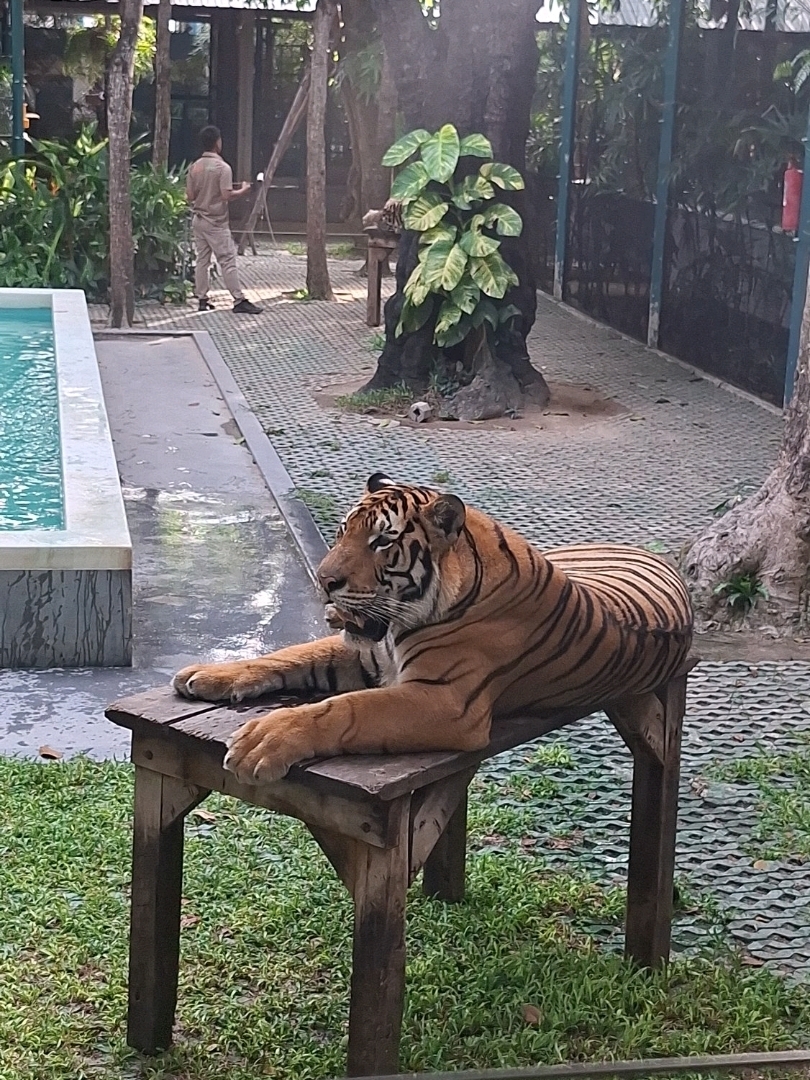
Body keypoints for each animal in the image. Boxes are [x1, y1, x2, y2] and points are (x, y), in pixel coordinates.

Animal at [173, 473, 693, 785]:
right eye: (342, 531)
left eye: (381, 541)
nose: (324, 581)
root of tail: (639, 547)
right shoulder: (367, 652)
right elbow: (290, 654)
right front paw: (207, 675)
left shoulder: (445, 699)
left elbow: (347, 709)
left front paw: (264, 740)